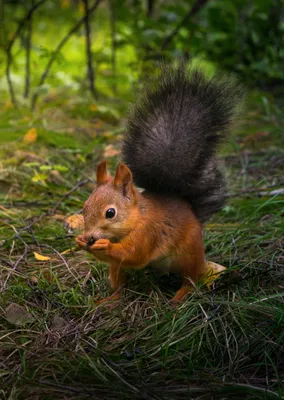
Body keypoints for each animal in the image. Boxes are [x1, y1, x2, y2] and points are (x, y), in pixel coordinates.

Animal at [72, 64, 243, 304]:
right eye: (84, 208)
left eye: (110, 213)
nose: (89, 237)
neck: (136, 218)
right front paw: (80, 240)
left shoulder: (149, 233)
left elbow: (134, 255)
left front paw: (104, 245)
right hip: (122, 270)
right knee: (119, 282)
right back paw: (111, 300)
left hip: (189, 254)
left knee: (191, 278)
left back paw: (179, 298)